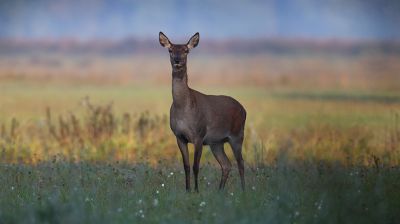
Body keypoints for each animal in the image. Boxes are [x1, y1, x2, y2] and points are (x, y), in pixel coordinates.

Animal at [159, 31, 247, 192]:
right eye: (170, 50)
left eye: (186, 51)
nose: (177, 60)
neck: (183, 109)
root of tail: (244, 109)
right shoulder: (179, 136)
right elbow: (186, 166)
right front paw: (187, 190)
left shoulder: (199, 135)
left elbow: (196, 166)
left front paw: (196, 190)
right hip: (216, 142)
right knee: (226, 164)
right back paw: (220, 191)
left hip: (237, 134)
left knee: (241, 163)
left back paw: (244, 191)